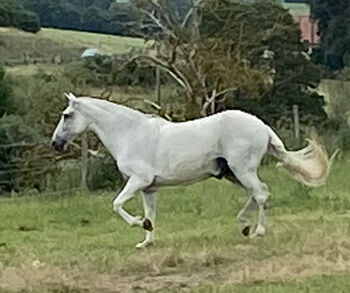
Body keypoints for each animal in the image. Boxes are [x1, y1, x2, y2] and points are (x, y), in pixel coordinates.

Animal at [51, 93, 330, 246]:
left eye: (66, 115)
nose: (55, 144)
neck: (130, 133)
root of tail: (262, 126)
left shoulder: (138, 180)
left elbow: (117, 204)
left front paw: (139, 224)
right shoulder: (148, 188)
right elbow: (151, 213)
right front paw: (147, 239)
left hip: (242, 170)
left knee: (261, 193)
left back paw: (258, 231)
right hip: (233, 174)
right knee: (257, 193)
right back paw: (243, 225)